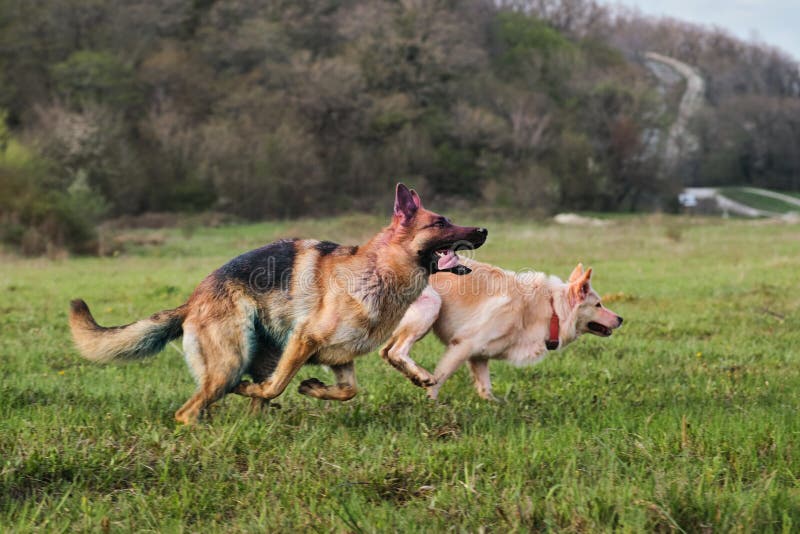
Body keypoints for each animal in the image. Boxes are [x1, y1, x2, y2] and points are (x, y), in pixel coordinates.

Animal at [72, 186, 484, 426]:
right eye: (441, 223)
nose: (483, 230)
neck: (378, 272)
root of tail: (192, 302)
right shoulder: (303, 340)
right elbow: (275, 387)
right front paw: (281, 389)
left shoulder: (341, 358)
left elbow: (347, 391)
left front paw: (314, 389)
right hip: (230, 362)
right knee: (193, 408)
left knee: (238, 404)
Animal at [382, 262, 624, 400]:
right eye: (598, 305)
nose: (621, 319)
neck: (551, 309)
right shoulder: (463, 345)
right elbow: (441, 378)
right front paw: (432, 403)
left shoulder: (479, 356)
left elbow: (486, 390)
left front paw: (494, 407)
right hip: (430, 305)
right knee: (397, 351)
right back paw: (421, 376)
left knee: (387, 353)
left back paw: (413, 374)